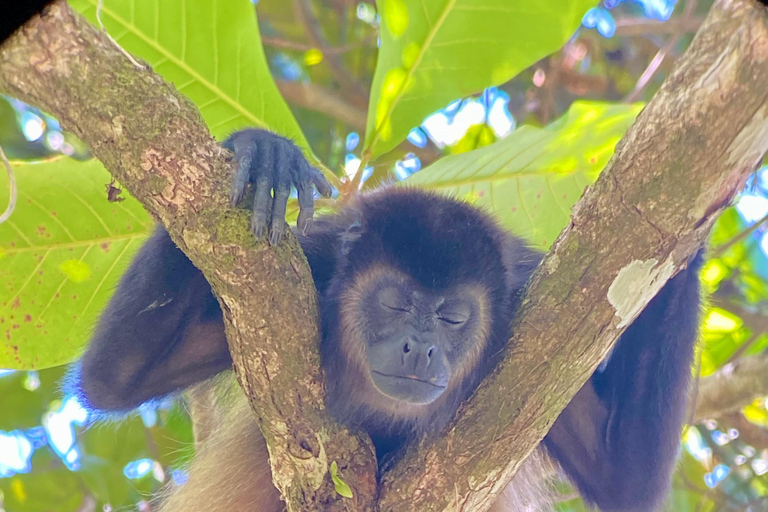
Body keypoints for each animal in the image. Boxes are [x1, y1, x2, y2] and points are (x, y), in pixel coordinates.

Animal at [73, 129, 704, 512]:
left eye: (452, 317)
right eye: (396, 304)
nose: (419, 348)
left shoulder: (530, 321)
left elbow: (626, 479)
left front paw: (691, 232)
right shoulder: (314, 264)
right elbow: (114, 378)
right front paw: (259, 148)